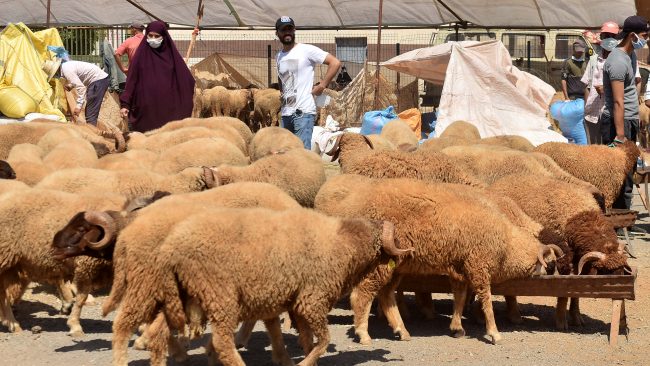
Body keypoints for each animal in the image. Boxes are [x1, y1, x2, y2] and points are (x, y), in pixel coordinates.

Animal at [312, 173, 560, 344]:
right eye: (549, 262)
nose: (550, 274)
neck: (506, 242)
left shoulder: (459, 269)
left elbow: (460, 297)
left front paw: (457, 327)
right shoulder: (478, 265)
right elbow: (487, 300)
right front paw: (494, 333)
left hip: (396, 265)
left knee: (386, 295)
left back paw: (402, 330)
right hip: (381, 262)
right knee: (362, 295)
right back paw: (363, 334)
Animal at [486, 174, 628, 328]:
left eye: (622, 269)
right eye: (605, 271)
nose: (621, 293)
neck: (581, 217)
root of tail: (499, 182)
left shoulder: (578, 263)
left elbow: (577, 290)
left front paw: (576, 316)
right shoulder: (564, 261)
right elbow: (564, 290)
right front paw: (561, 321)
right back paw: (515, 315)